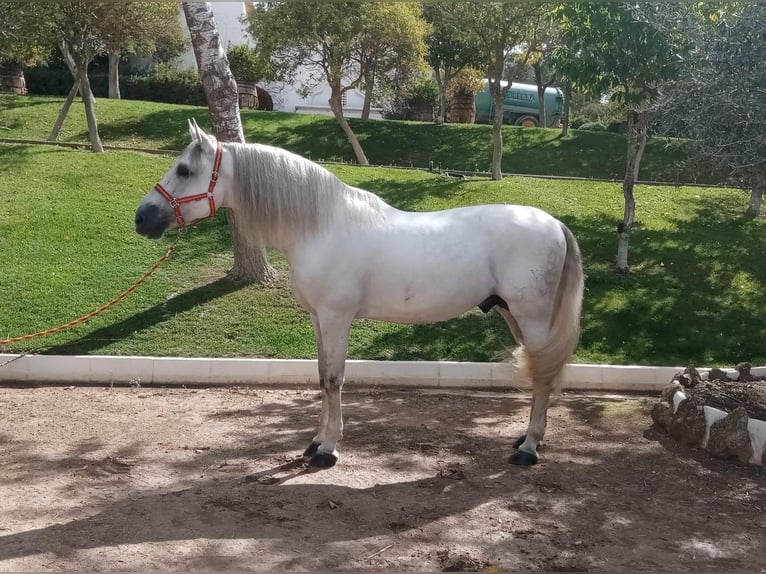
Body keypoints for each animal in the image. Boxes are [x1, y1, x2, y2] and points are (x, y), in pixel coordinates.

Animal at [135, 121, 584, 468]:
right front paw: (316, 441)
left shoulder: (337, 317)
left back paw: (528, 448)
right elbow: (321, 376)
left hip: (531, 317)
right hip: (513, 315)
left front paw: (328, 450)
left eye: (184, 169)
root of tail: (554, 224)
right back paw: (527, 440)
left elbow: (335, 379)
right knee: (542, 371)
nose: (143, 218)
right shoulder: (318, 318)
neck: (321, 227)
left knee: (543, 374)